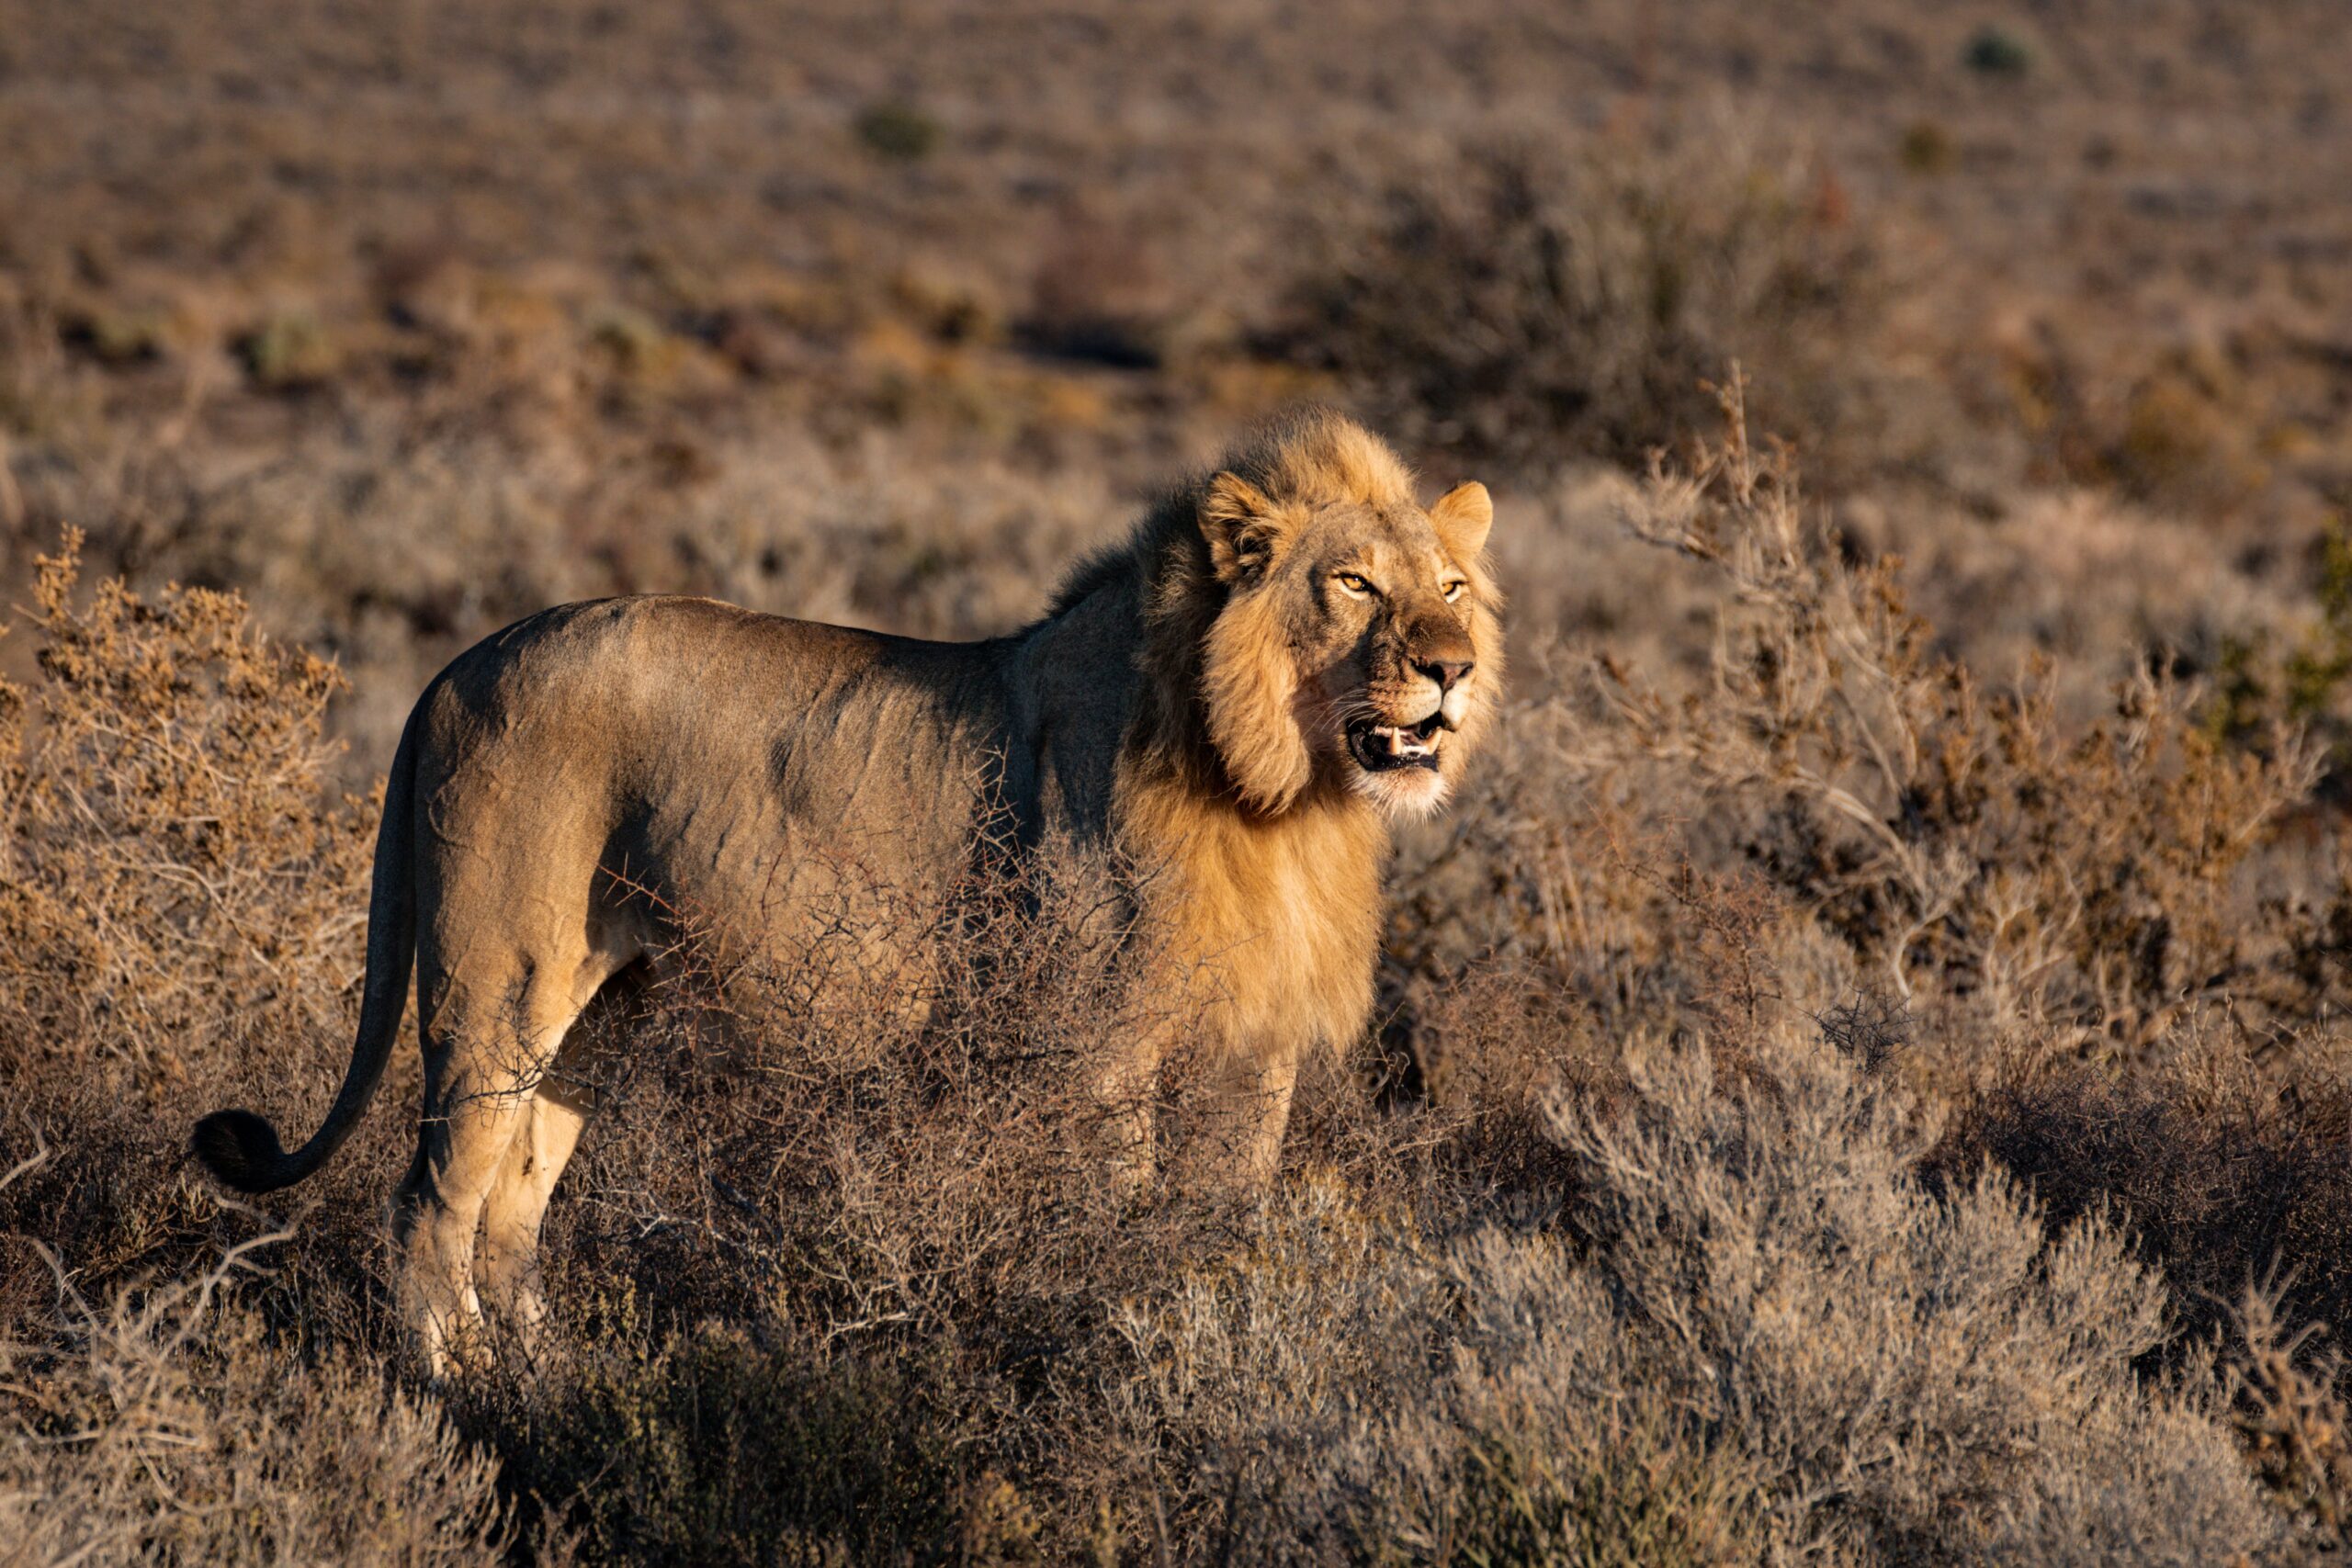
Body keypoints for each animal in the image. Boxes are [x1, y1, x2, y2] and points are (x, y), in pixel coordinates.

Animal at [187, 409, 1505, 1372]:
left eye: (1449, 586)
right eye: (1354, 585)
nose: (1452, 669)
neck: (1284, 797)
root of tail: (454, 667)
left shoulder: (1253, 1051)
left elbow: (1223, 1224)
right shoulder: (1100, 1046)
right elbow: (1119, 1220)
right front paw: (1122, 1340)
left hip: (602, 1015)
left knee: (514, 1207)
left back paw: (549, 1382)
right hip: (495, 986)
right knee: (429, 1202)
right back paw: (453, 1394)